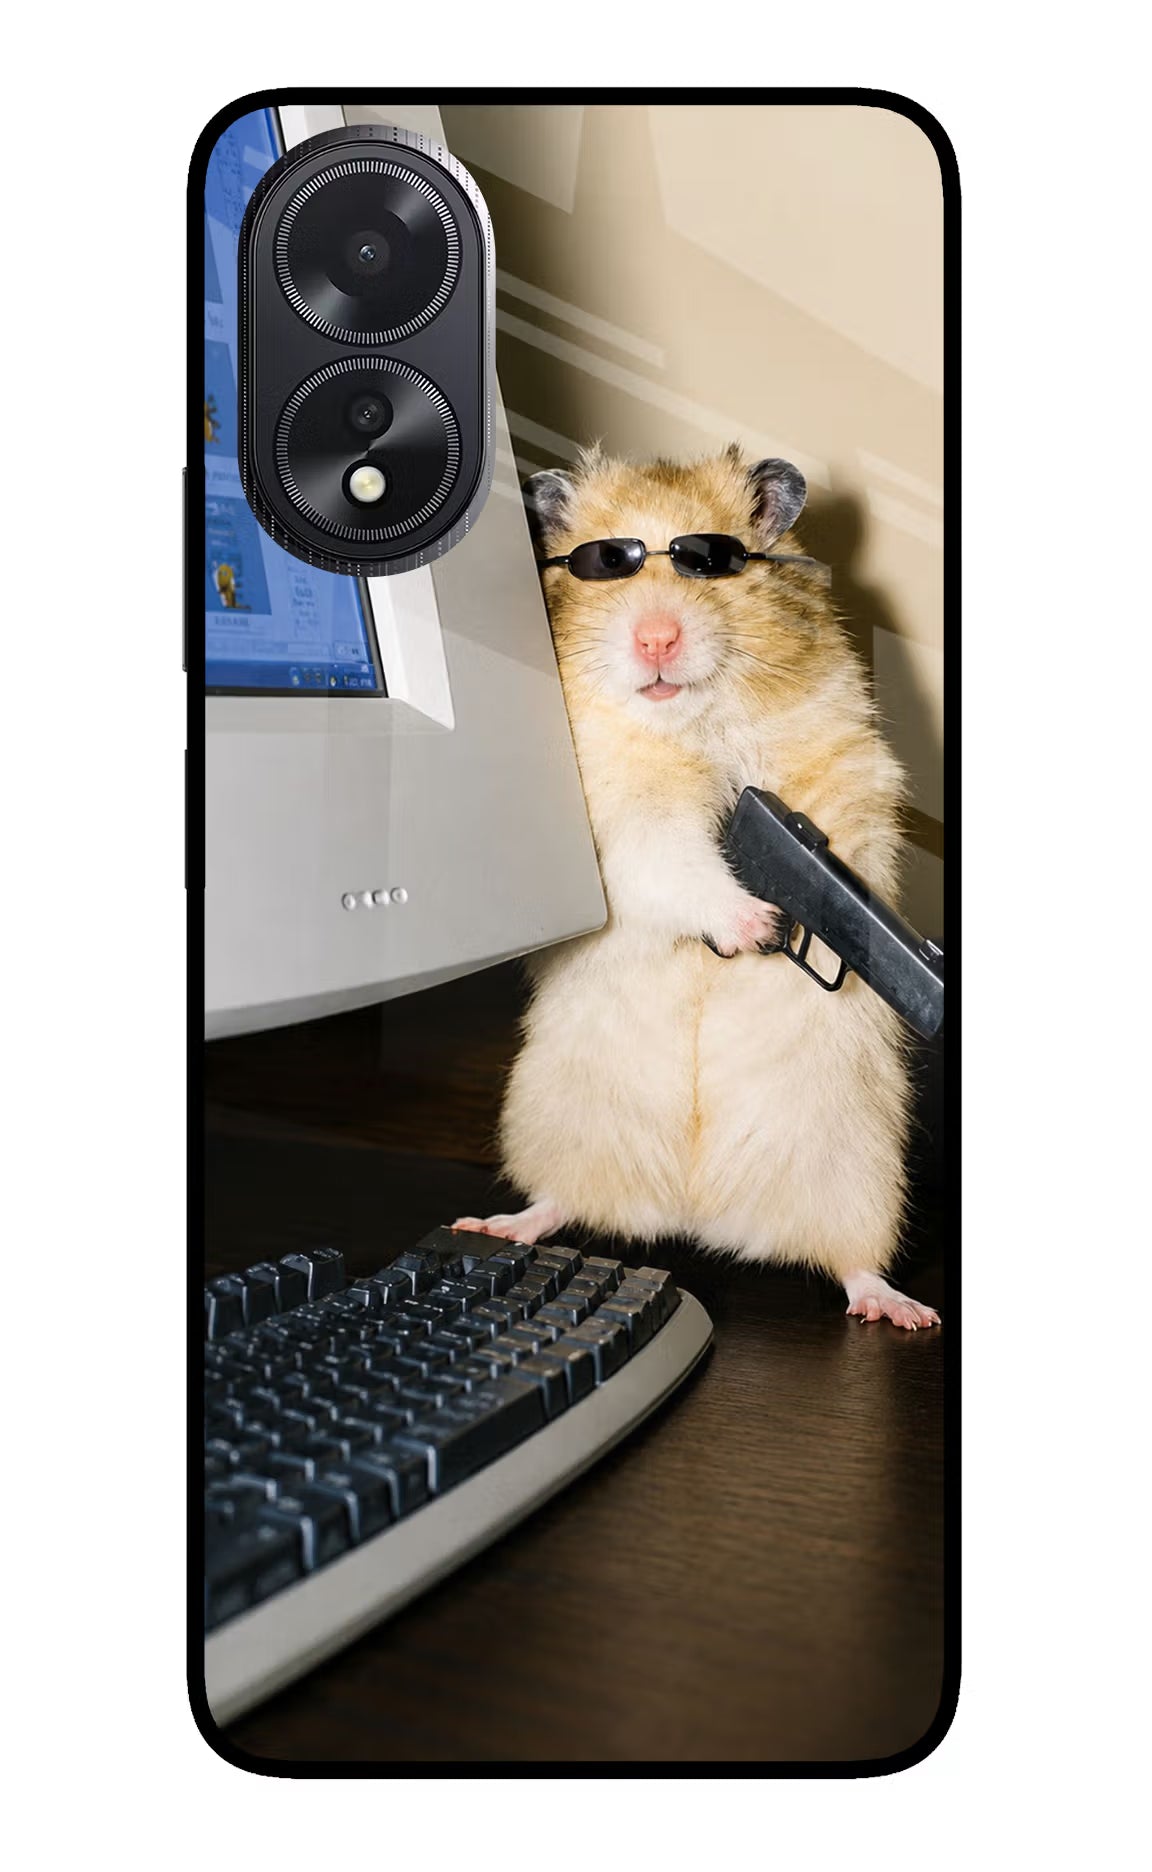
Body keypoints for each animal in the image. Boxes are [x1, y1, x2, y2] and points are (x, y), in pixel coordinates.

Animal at [456, 445, 939, 1329]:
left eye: (709, 561)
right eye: (605, 564)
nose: (656, 638)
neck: (690, 723)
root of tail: (694, 1212)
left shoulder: (843, 765)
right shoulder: (621, 819)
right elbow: (675, 861)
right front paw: (756, 925)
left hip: (857, 1170)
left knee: (852, 1261)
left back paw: (901, 1310)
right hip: (556, 1120)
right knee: (560, 1201)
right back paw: (498, 1223)